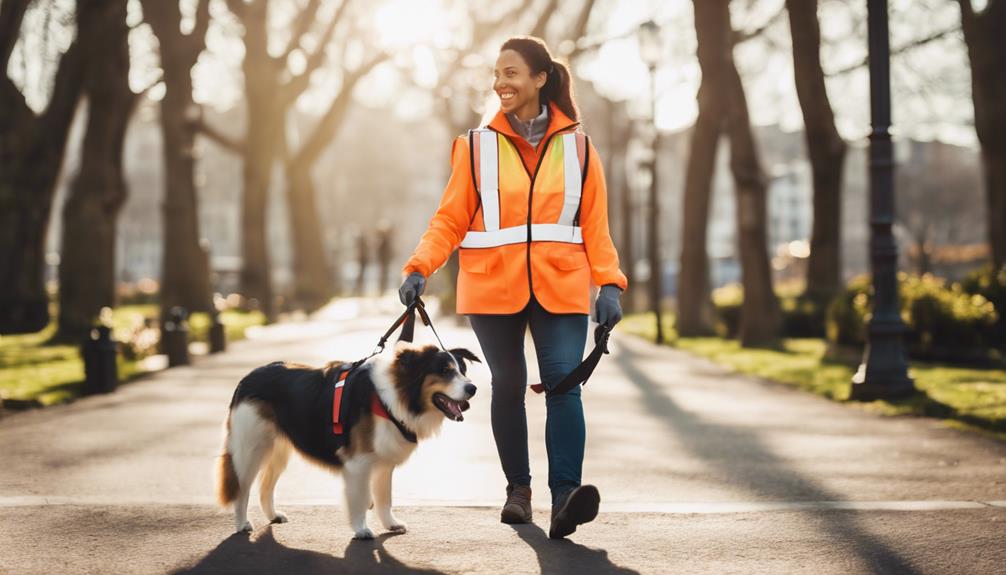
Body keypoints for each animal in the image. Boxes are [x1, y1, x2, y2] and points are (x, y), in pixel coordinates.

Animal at [215, 345, 478, 538]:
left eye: (463, 370)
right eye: (445, 371)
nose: (472, 388)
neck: (391, 399)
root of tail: (247, 379)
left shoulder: (384, 463)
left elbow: (384, 498)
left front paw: (390, 524)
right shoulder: (358, 464)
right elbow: (360, 498)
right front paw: (361, 529)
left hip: (278, 449)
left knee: (266, 485)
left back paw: (273, 516)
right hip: (250, 448)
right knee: (242, 488)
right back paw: (241, 523)